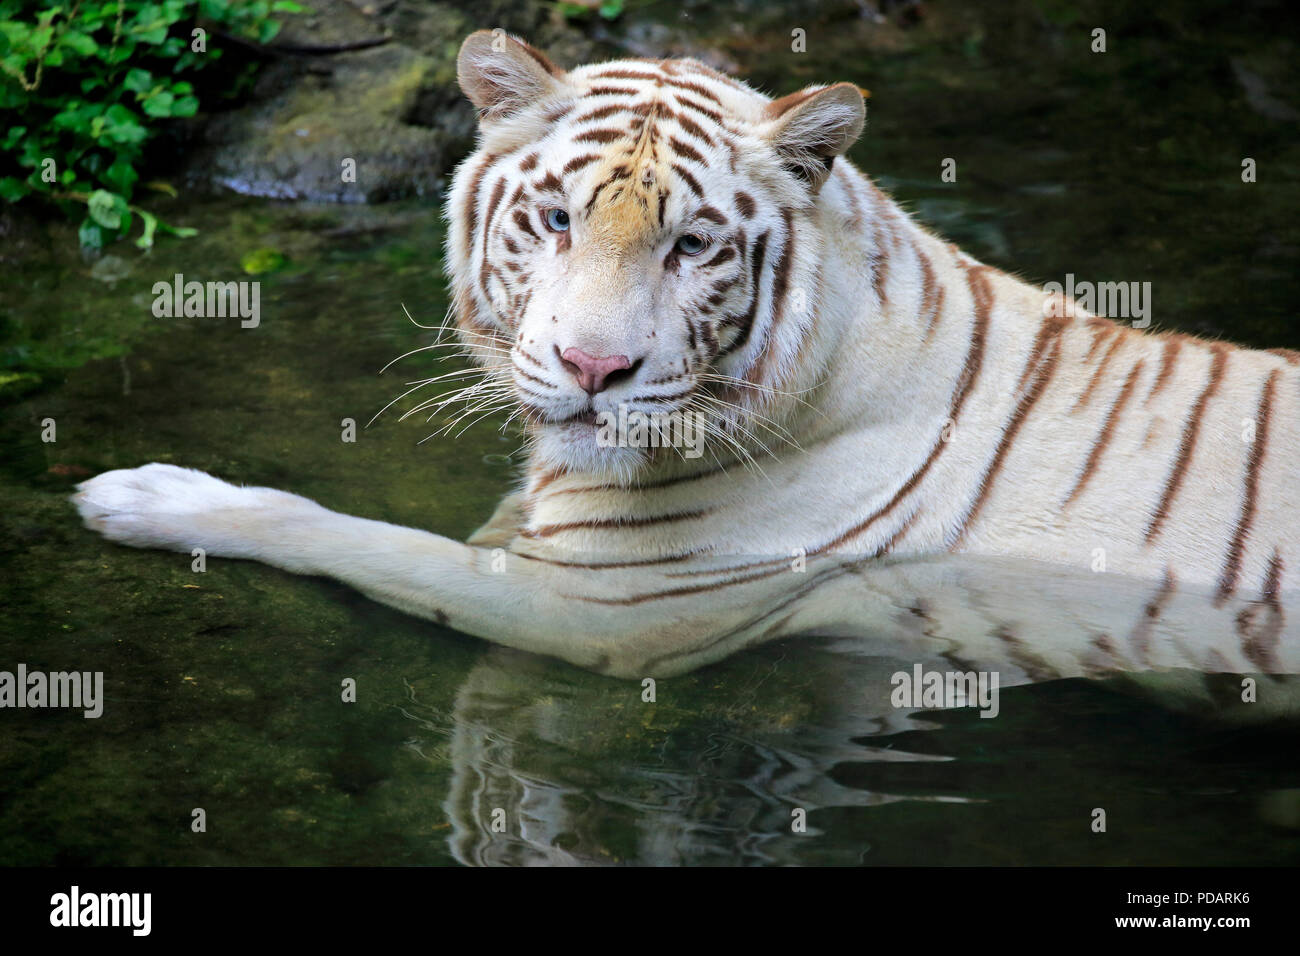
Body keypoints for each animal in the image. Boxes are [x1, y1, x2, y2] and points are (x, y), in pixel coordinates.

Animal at [73, 33, 1300, 686]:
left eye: (692, 245)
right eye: (556, 221)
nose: (591, 368)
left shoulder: (596, 607)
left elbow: (349, 534)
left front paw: (145, 494)